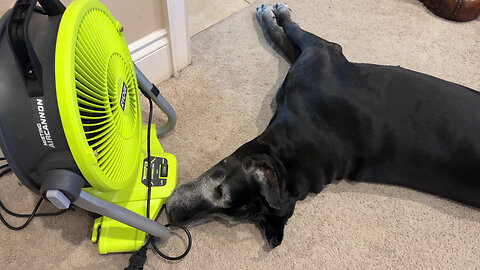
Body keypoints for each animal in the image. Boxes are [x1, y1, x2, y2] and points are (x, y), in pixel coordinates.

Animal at [167, 3, 480, 249]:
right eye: (226, 215)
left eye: (221, 193)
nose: (171, 216)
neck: (291, 155)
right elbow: (287, 44)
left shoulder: (322, 50)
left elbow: (289, 34)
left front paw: (273, 14)